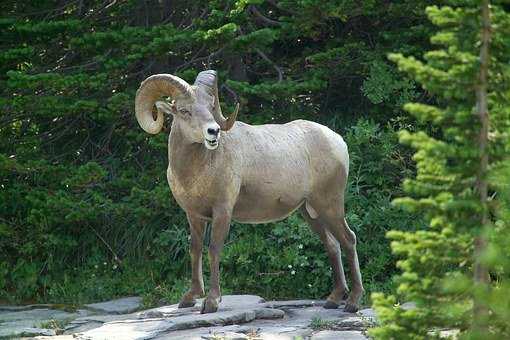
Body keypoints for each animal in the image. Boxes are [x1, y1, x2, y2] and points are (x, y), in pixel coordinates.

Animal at [134, 70, 362, 314]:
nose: (213, 132)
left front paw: (211, 302)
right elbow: (195, 249)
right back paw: (333, 299)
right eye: (184, 111)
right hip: (311, 212)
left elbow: (214, 249)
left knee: (349, 240)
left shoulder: (222, 211)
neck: (197, 171)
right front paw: (189, 298)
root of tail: (338, 141)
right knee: (332, 245)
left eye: (210, 107)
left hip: (330, 205)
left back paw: (352, 302)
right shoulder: (194, 216)